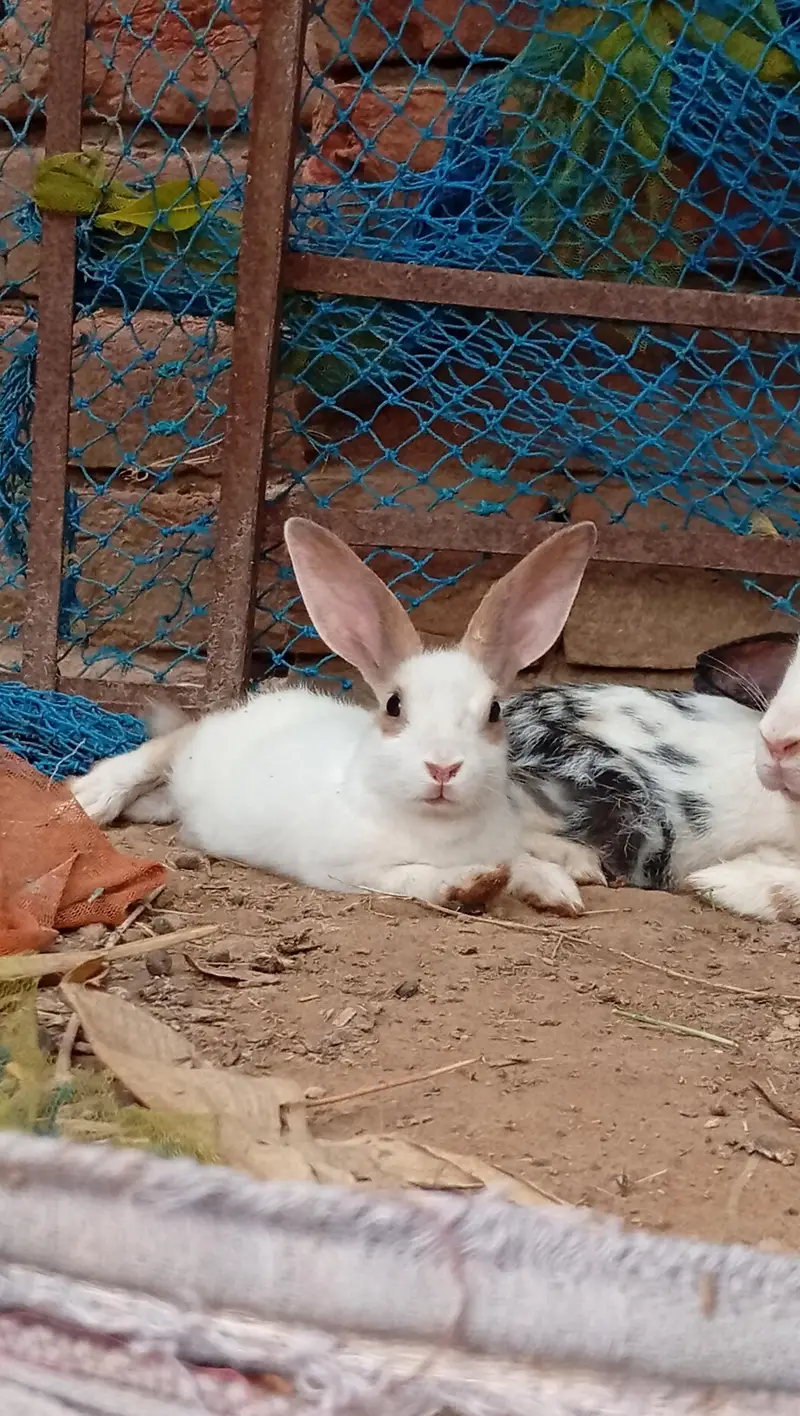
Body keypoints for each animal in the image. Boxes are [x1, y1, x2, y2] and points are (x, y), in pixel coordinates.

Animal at [68, 516, 599, 915]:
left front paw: (556, 889)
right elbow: (416, 879)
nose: (443, 768)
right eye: (394, 705)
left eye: (493, 712)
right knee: (153, 755)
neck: (437, 826)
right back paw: (91, 800)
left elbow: (520, 860)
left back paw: (579, 861)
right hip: (192, 749)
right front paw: (469, 884)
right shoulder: (352, 870)